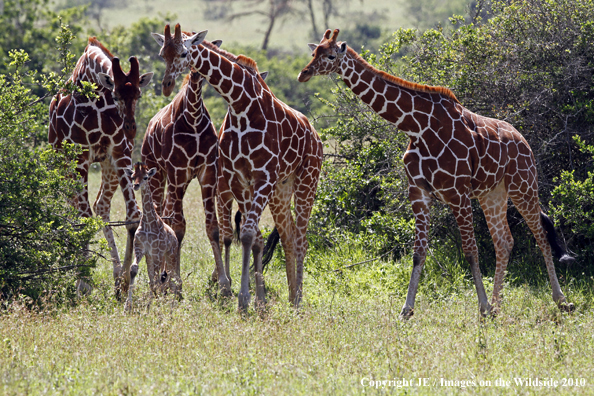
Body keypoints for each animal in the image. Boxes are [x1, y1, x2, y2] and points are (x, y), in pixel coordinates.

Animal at [48, 38, 154, 296]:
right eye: (115, 94)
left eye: (138, 94)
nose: (130, 128)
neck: (95, 95)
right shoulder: (80, 156)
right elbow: (84, 216)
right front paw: (84, 282)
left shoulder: (120, 153)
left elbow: (133, 216)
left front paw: (123, 281)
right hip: (62, 165)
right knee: (77, 210)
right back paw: (77, 274)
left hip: (107, 166)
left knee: (100, 206)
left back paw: (114, 274)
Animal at [123, 161, 179, 310]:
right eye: (132, 177)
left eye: (146, 177)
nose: (136, 185)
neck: (148, 221)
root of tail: (175, 236)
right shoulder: (141, 248)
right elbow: (134, 269)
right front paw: (127, 305)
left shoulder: (157, 252)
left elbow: (157, 279)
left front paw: (152, 304)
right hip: (151, 257)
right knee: (157, 277)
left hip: (169, 255)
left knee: (172, 277)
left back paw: (172, 302)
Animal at [150, 23, 322, 310]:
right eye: (163, 54)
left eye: (184, 53)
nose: (166, 85)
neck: (240, 104)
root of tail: (316, 136)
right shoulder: (238, 179)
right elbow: (248, 236)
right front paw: (248, 297)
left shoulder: (262, 177)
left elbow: (249, 234)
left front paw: (243, 297)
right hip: (281, 189)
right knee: (287, 235)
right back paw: (290, 296)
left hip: (307, 180)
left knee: (302, 239)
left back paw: (298, 299)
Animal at [298, 28, 572, 318]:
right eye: (314, 52)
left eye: (330, 55)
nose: (303, 74)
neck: (417, 128)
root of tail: (524, 141)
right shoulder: (419, 193)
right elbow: (418, 252)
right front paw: (406, 310)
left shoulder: (457, 193)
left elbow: (470, 251)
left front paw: (482, 307)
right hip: (493, 193)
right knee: (504, 241)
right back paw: (498, 306)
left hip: (523, 185)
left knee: (540, 235)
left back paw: (560, 300)